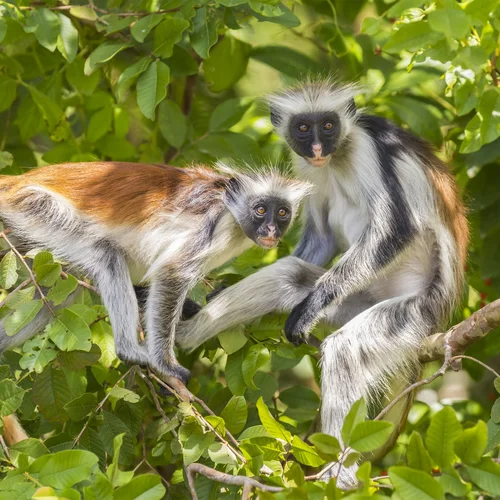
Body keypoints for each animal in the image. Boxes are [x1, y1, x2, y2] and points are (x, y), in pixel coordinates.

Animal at [0, 160, 310, 382]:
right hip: (35, 207)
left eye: (282, 212)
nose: (270, 229)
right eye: (260, 210)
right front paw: (166, 364)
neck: (231, 210)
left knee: (56, 294)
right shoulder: (213, 223)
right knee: (106, 255)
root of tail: (16, 181)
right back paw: (129, 350)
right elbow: (172, 273)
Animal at [177, 80, 468, 486]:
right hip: (357, 300)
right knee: (290, 275)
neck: (337, 156)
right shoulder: (306, 168)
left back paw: (340, 477)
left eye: (328, 126)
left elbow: (397, 229)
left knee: (346, 349)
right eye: (303, 128)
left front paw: (313, 305)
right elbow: (322, 237)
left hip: (415, 311)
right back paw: (180, 334)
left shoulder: (367, 147)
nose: (317, 148)